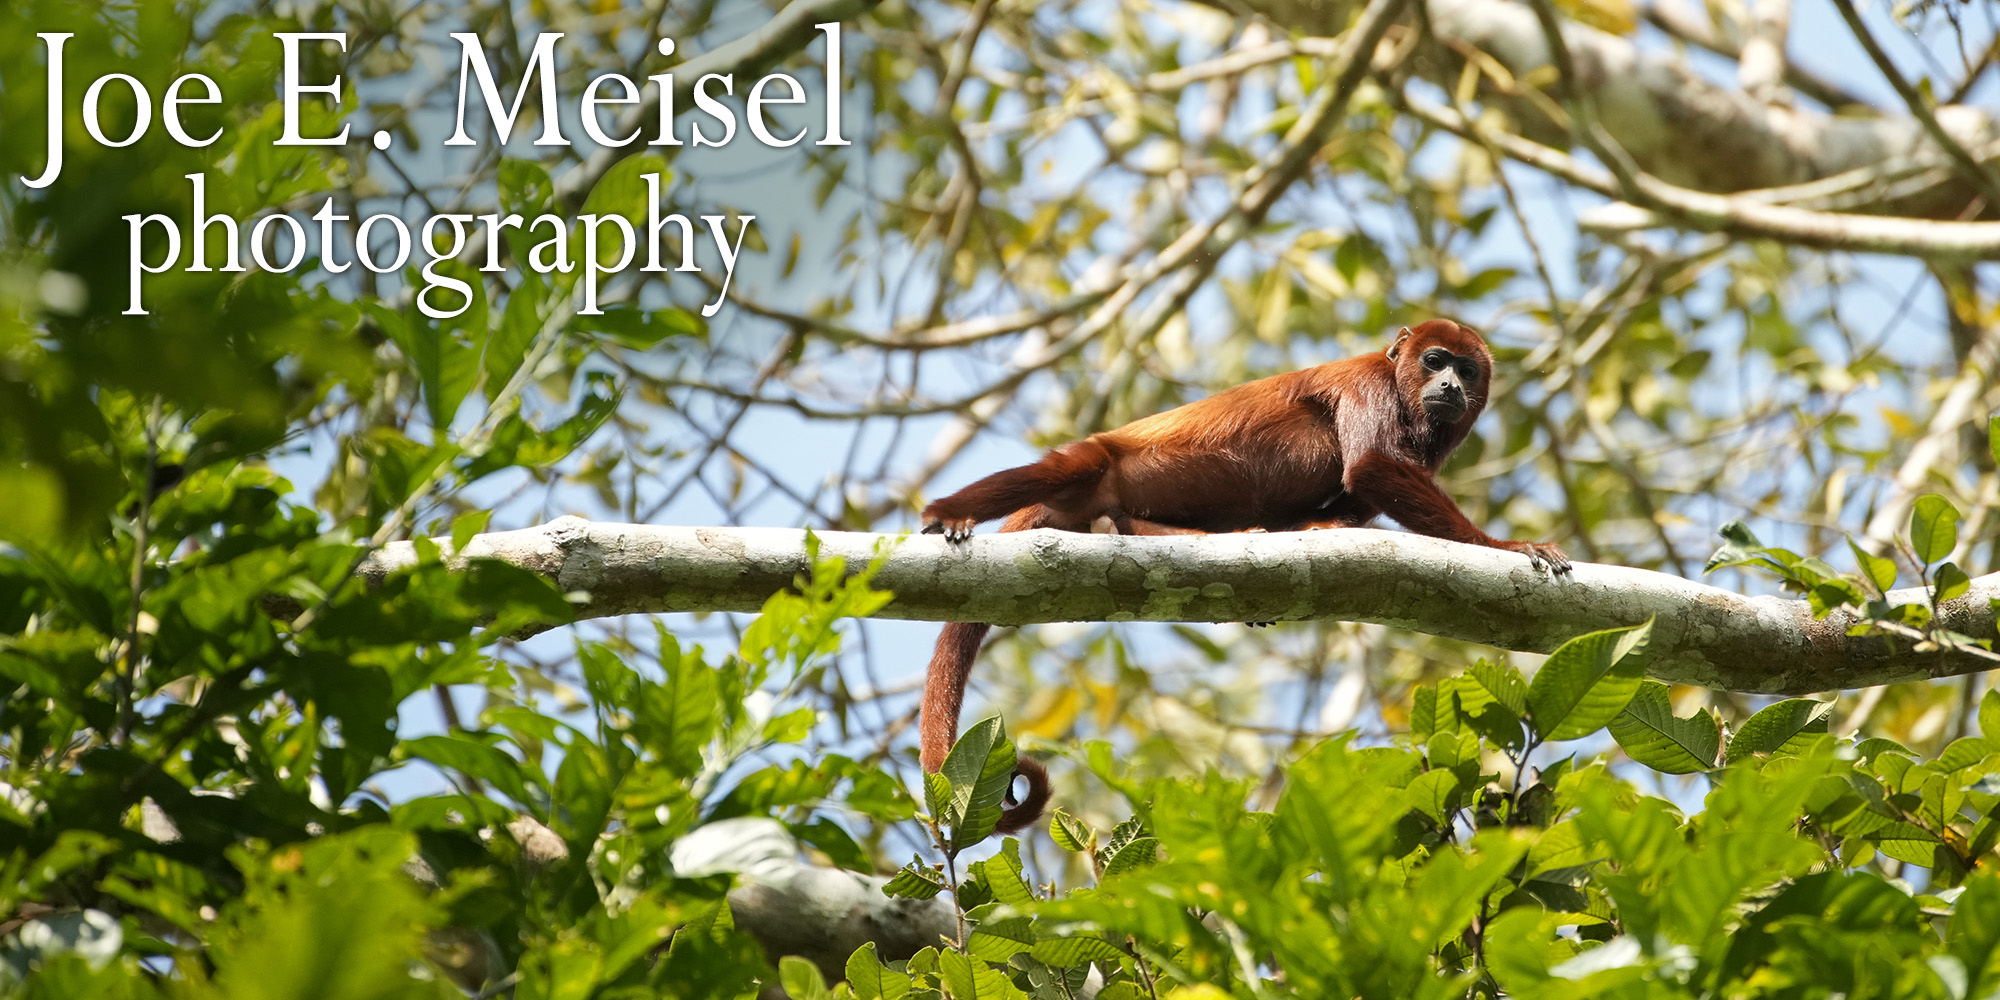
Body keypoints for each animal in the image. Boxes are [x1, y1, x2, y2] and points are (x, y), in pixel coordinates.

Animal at [915, 319, 1570, 835]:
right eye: (1435, 361)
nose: (1451, 385)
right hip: (1099, 464)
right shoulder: (1368, 385)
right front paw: (1510, 546)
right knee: (1070, 463)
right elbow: (1371, 467)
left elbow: (1355, 497)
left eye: (1467, 368)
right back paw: (952, 511)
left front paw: (1316, 529)